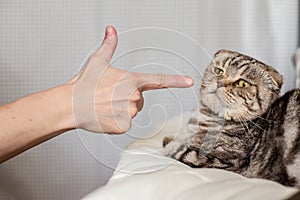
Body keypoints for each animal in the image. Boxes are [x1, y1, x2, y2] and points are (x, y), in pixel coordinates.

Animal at [163, 49, 300, 188]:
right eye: (218, 71)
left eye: (243, 83)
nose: (220, 83)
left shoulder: (214, 160)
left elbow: (177, 149)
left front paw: (172, 144)